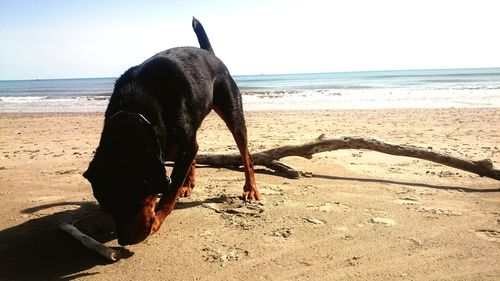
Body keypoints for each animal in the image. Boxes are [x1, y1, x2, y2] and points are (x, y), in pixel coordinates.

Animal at [83, 18, 260, 245]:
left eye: (133, 199)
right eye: (107, 205)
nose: (124, 241)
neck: (135, 112)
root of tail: (210, 55)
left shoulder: (181, 146)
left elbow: (169, 192)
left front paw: (157, 220)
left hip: (232, 110)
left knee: (245, 154)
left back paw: (250, 189)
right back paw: (188, 184)